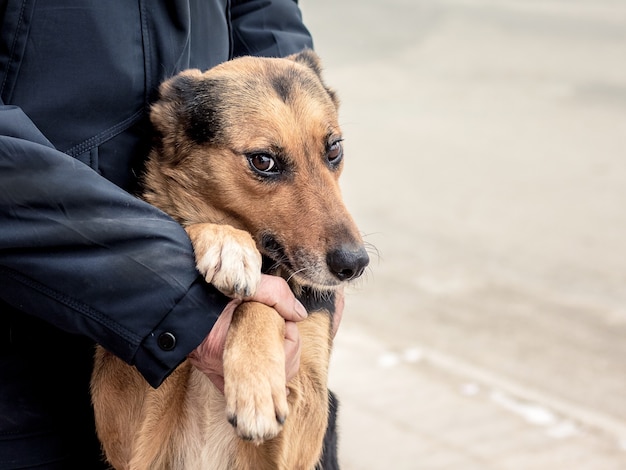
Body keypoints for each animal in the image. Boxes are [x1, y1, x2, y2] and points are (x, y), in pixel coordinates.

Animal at [90, 49, 368, 468]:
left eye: (333, 149)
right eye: (263, 161)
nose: (353, 264)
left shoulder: (307, 415)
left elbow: (260, 303)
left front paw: (255, 385)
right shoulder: (123, 427)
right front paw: (227, 243)